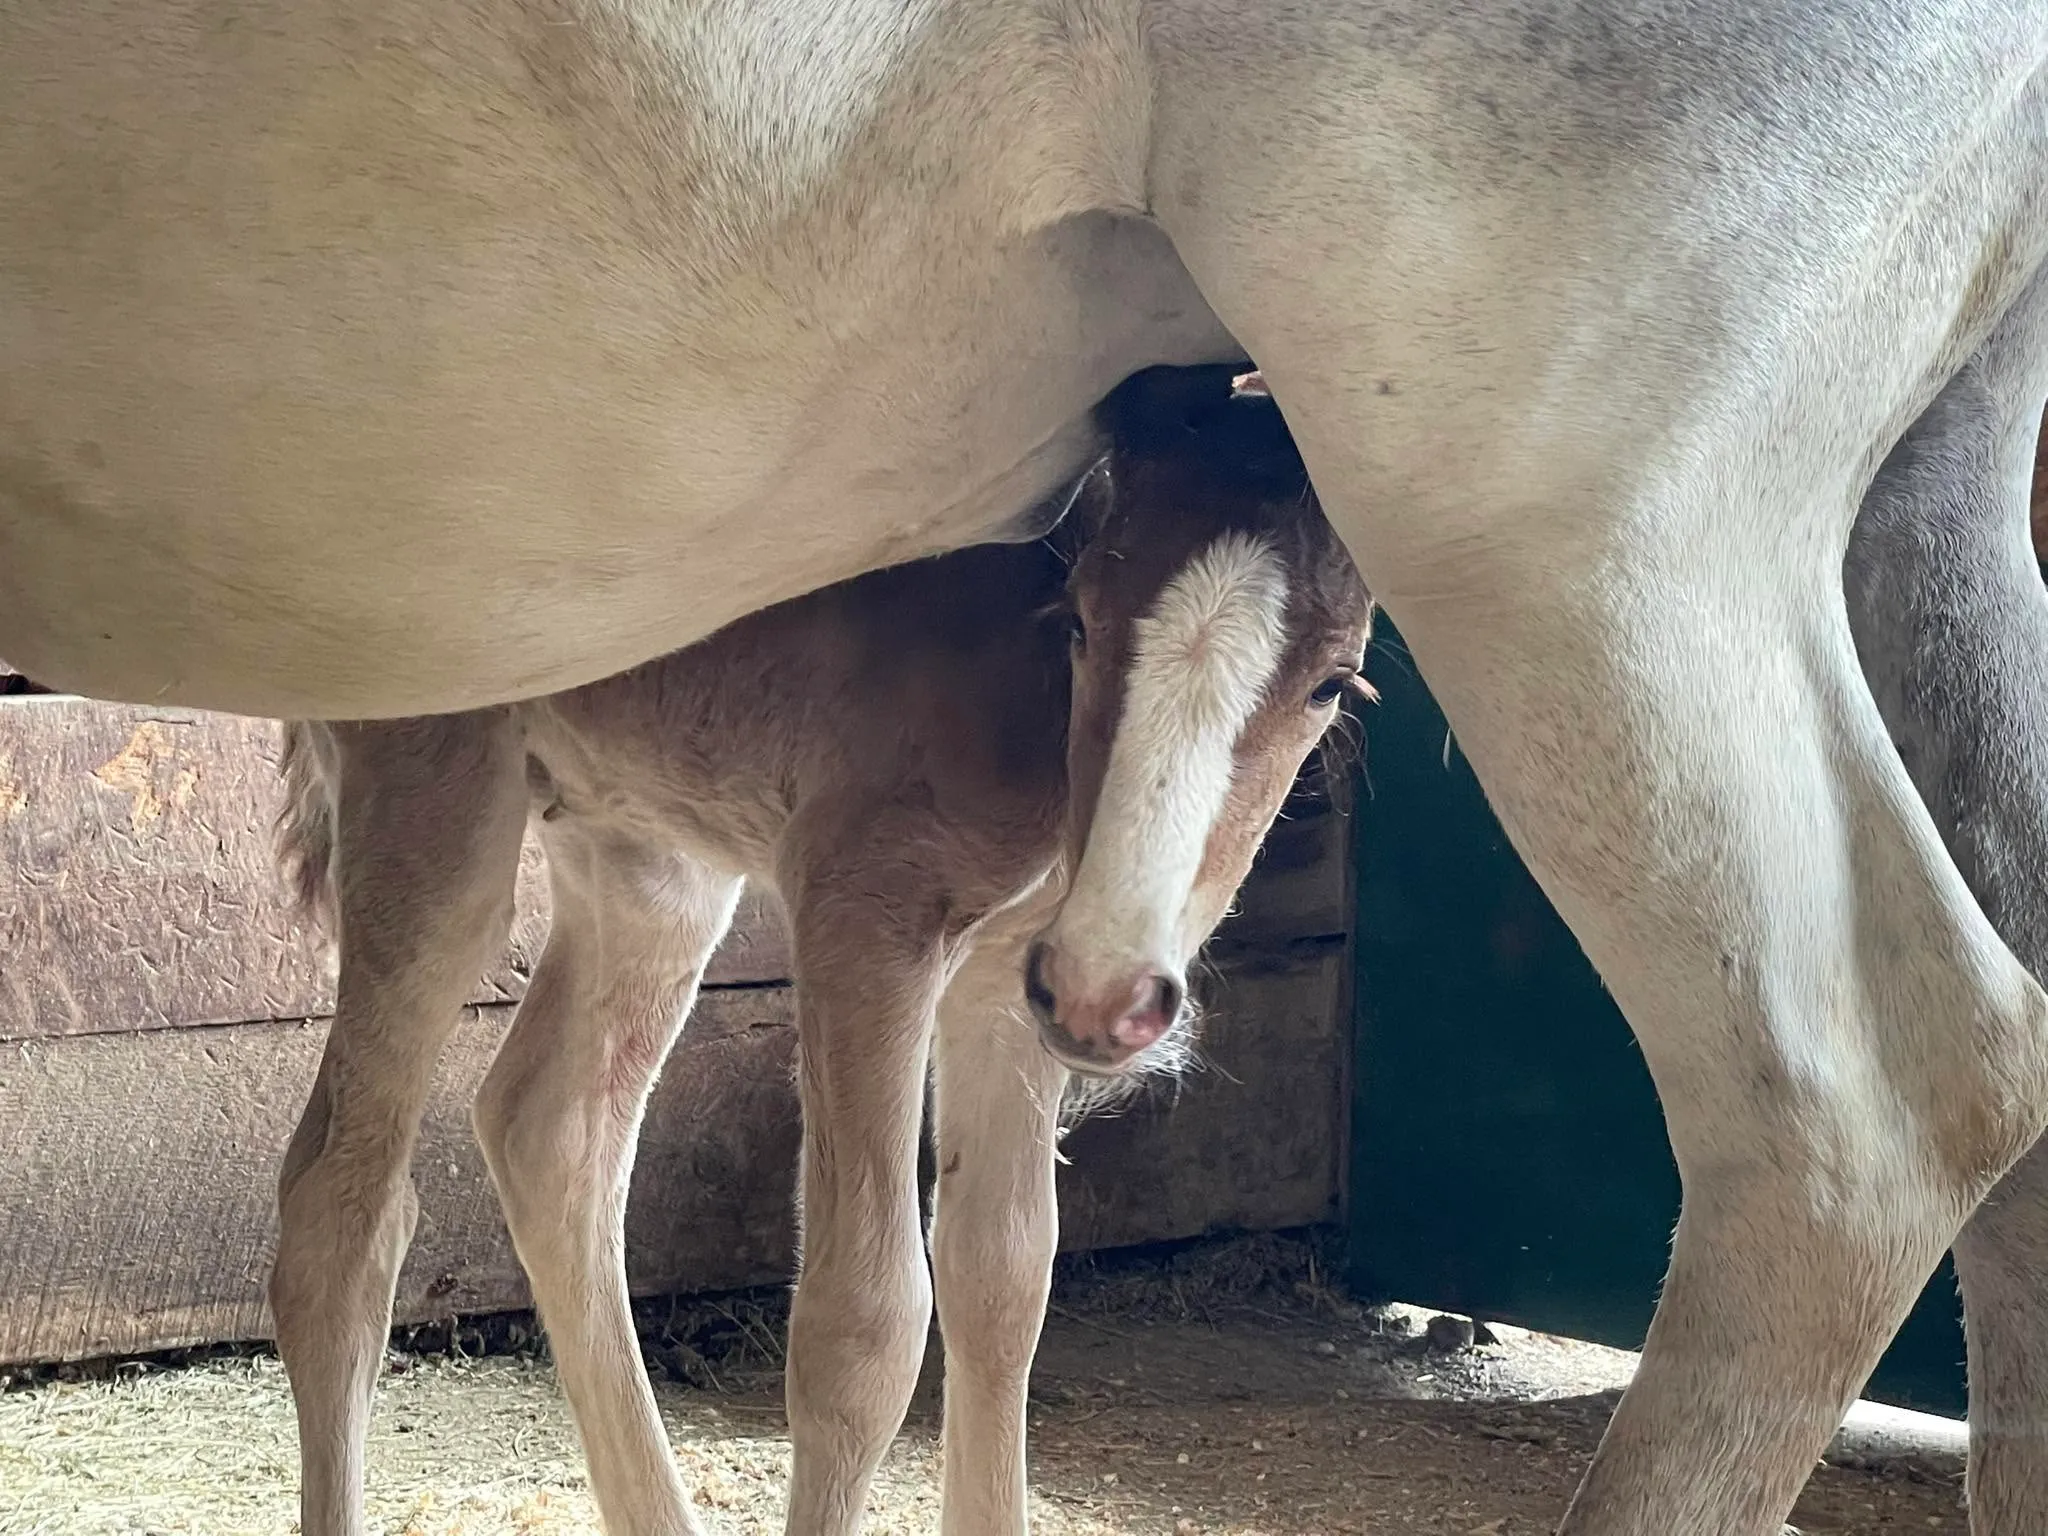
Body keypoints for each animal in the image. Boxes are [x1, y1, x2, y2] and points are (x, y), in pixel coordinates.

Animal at [269, 369, 1370, 1536]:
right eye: (1077, 622)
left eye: (1332, 685)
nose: (1110, 989)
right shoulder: (867, 904)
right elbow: (865, 1324)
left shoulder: (1008, 985)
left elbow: (1003, 1278)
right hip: (438, 800)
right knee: (341, 1214)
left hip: (647, 856)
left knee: (549, 1132)